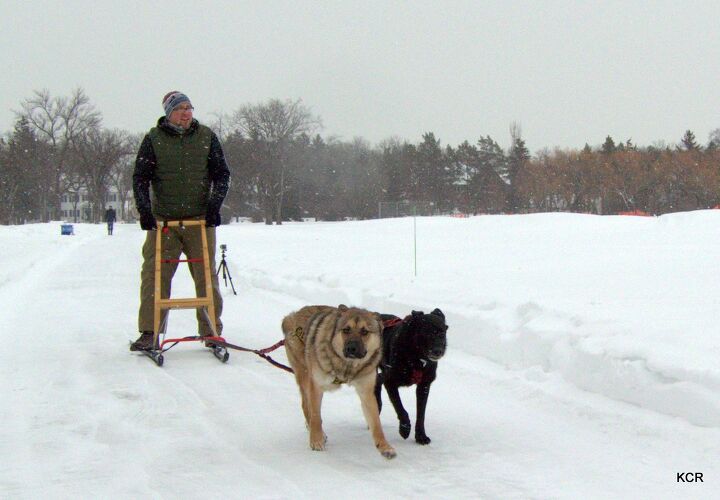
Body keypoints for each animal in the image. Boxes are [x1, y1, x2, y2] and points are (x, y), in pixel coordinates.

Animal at [282, 302, 396, 458]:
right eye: (346, 330)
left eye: (365, 332)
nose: (351, 348)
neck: (347, 366)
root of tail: (292, 317)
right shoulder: (316, 385)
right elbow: (316, 415)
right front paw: (316, 440)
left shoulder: (366, 392)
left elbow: (376, 423)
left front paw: (384, 446)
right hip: (304, 375)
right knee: (306, 406)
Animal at [374, 308, 448, 446]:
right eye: (427, 333)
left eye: (442, 333)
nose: (438, 351)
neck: (416, 358)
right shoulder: (390, 382)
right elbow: (400, 408)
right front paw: (405, 428)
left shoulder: (424, 385)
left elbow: (421, 414)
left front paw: (421, 436)